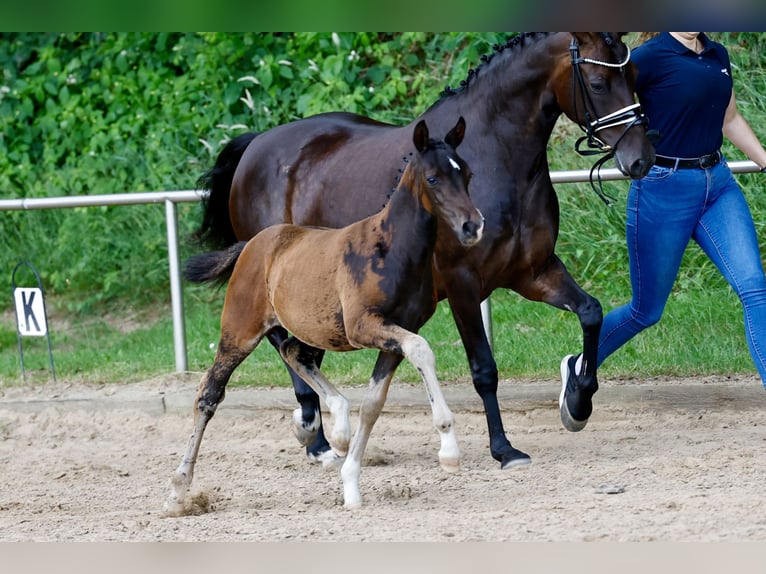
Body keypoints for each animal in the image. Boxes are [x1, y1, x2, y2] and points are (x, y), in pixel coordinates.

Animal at [167, 117, 483, 511]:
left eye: (466, 173)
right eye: (433, 178)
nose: (473, 225)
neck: (392, 250)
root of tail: (252, 245)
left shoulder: (396, 332)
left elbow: (373, 404)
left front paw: (351, 486)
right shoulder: (364, 326)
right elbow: (422, 349)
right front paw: (449, 451)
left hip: (313, 329)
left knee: (293, 352)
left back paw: (339, 429)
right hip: (239, 332)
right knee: (209, 393)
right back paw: (178, 491)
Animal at [192, 32, 656, 470]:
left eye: (634, 75)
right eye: (597, 83)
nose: (641, 159)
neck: (496, 155)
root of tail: (256, 146)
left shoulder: (533, 271)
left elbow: (591, 312)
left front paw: (578, 401)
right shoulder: (464, 282)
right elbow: (484, 369)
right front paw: (504, 449)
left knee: (300, 349)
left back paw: (320, 433)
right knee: (282, 342)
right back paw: (313, 430)